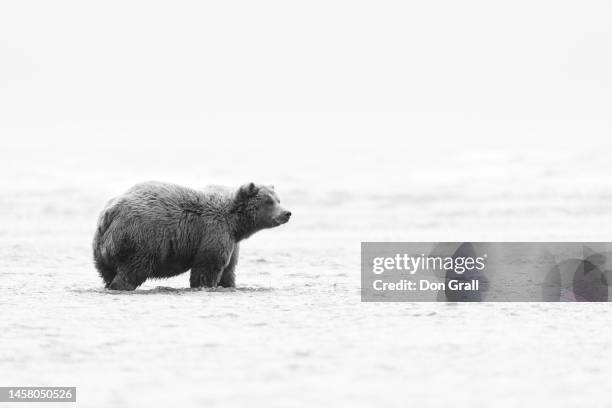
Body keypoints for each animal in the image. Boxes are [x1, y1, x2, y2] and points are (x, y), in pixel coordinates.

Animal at [91, 182, 292, 290]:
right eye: (269, 201)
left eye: (278, 199)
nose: (287, 213)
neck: (236, 224)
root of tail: (110, 212)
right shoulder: (214, 231)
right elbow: (207, 268)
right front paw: (207, 285)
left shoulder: (232, 243)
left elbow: (228, 270)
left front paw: (229, 284)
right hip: (142, 238)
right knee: (132, 271)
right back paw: (121, 285)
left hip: (103, 247)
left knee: (107, 272)